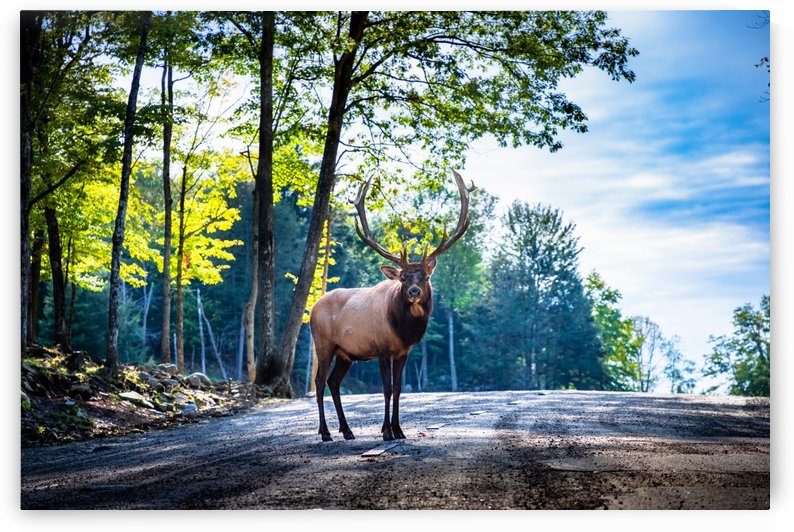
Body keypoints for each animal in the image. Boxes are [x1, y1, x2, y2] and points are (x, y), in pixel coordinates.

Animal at [310, 170, 475, 442]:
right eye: (403, 277)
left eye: (425, 277)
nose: (414, 291)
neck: (402, 330)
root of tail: (313, 308)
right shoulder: (382, 348)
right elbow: (386, 388)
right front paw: (386, 431)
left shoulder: (403, 351)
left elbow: (398, 388)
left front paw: (399, 430)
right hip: (323, 342)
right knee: (319, 381)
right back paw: (325, 433)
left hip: (345, 353)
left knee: (334, 382)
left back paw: (347, 431)